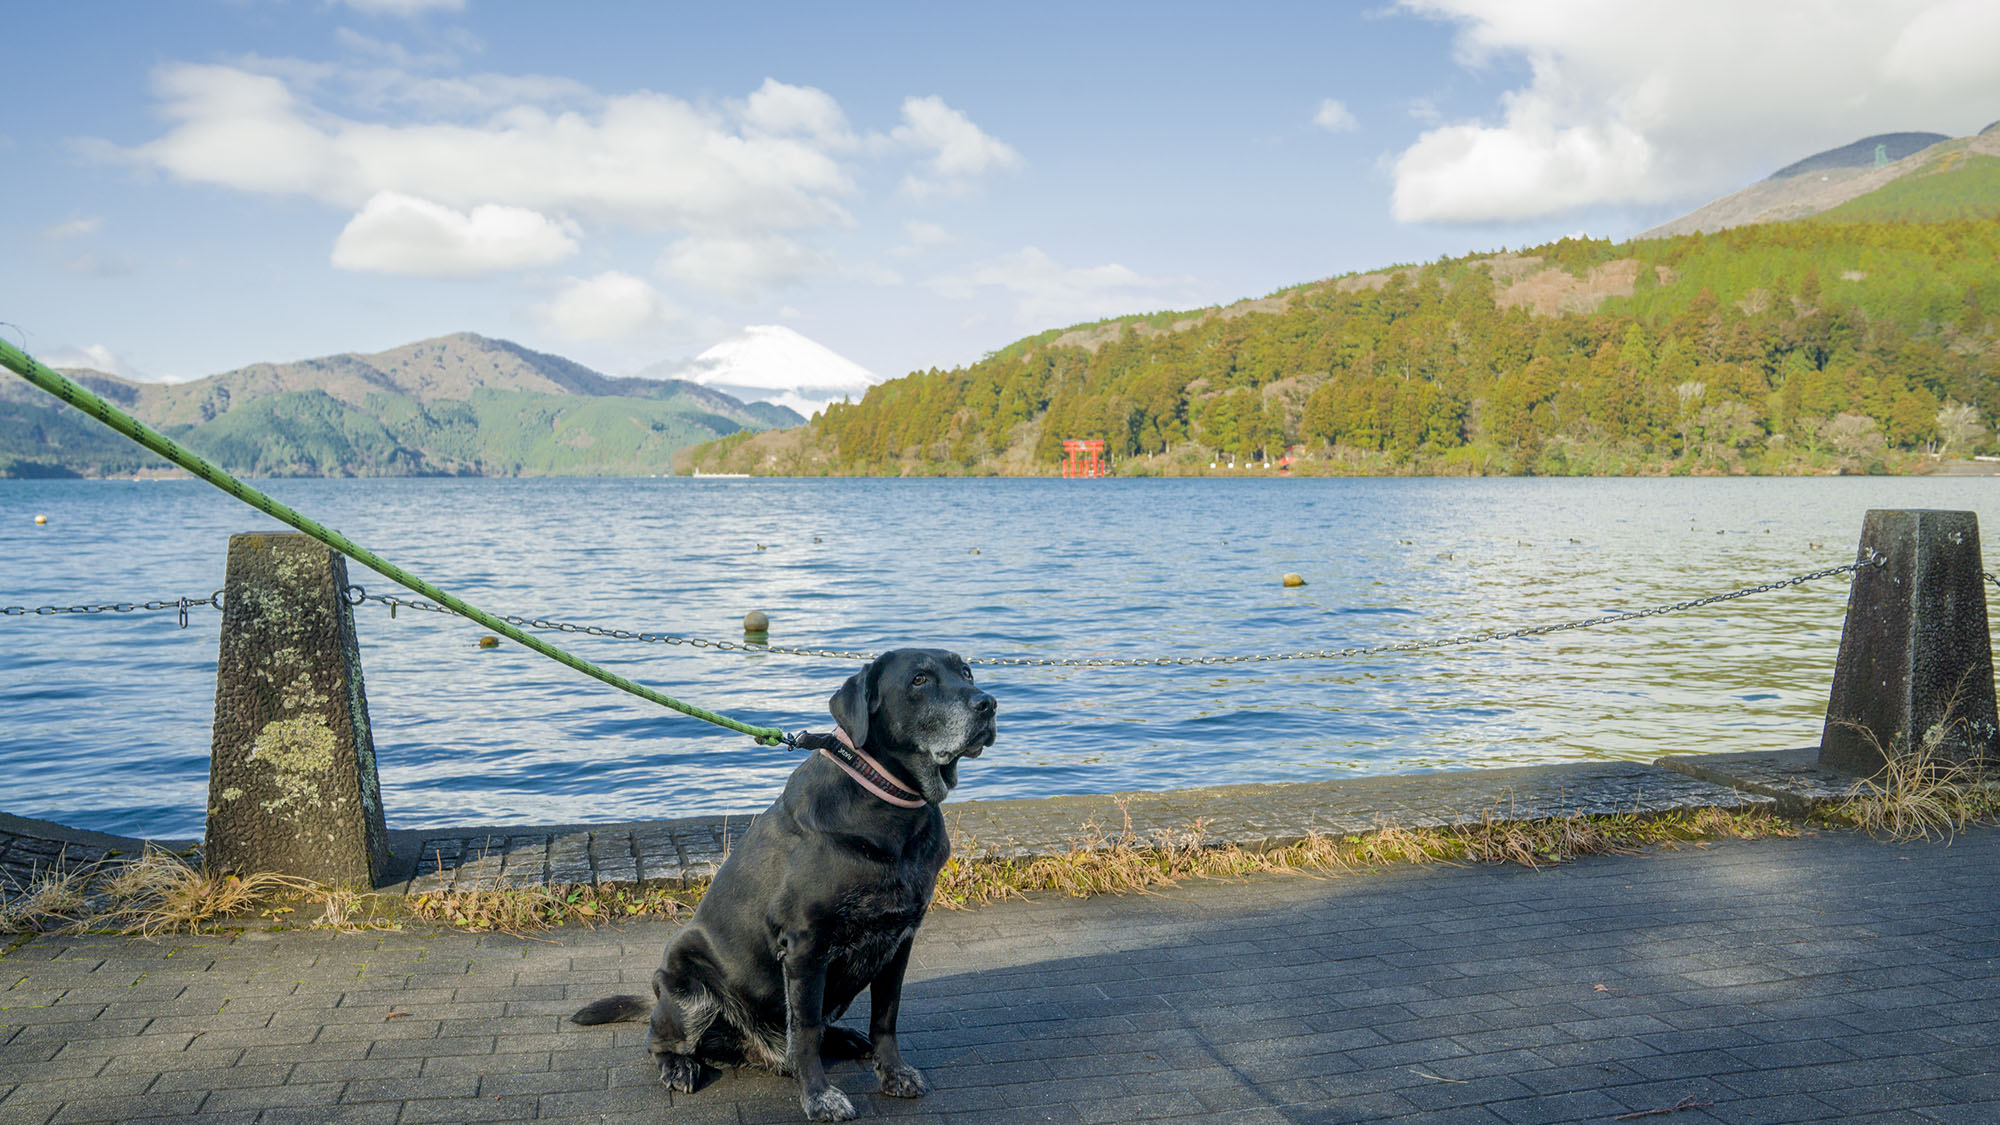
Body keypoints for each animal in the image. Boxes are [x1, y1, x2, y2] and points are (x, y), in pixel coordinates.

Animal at [572, 644, 992, 1112]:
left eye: (966, 672)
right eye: (919, 679)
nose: (988, 704)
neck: (888, 806)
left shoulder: (900, 940)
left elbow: (886, 1017)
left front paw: (893, 1072)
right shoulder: (807, 946)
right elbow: (804, 1031)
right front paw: (819, 1096)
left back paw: (842, 1038)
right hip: (685, 982)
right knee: (661, 1041)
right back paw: (680, 1065)